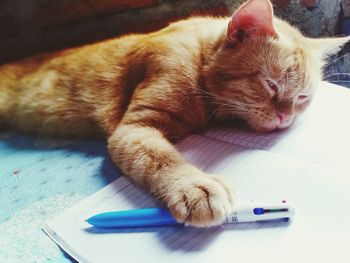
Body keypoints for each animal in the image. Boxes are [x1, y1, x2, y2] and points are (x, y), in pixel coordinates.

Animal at [0, 0, 350, 227]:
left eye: (302, 97)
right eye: (271, 85)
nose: (284, 118)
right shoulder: (134, 129)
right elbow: (163, 158)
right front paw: (195, 187)